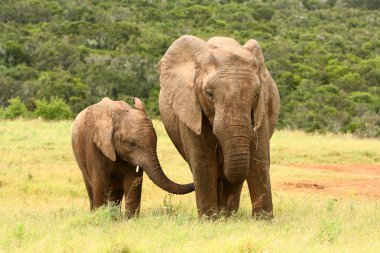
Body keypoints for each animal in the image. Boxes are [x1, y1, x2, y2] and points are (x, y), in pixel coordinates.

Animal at [157, 35, 280, 217]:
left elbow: (259, 159)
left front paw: (263, 221)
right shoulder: (190, 107)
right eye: (209, 94)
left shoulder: (262, 110)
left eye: (257, 94)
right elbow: (204, 163)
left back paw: (228, 215)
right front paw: (209, 219)